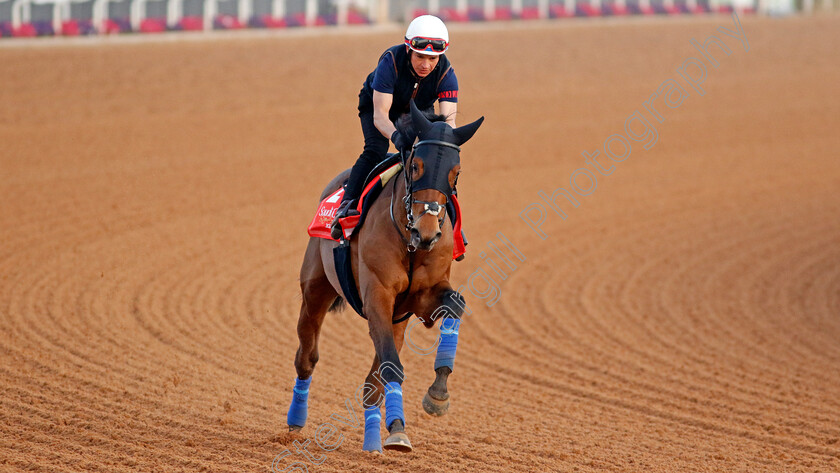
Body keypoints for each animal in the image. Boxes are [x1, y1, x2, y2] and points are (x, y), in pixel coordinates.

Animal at [288, 101, 486, 452]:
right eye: (417, 166)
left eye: (456, 172)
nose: (427, 233)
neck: (409, 242)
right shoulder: (377, 296)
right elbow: (392, 365)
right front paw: (399, 429)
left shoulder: (421, 299)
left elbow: (456, 304)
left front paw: (438, 394)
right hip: (315, 290)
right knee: (306, 357)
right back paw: (295, 422)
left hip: (397, 321)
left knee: (372, 383)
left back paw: (372, 443)